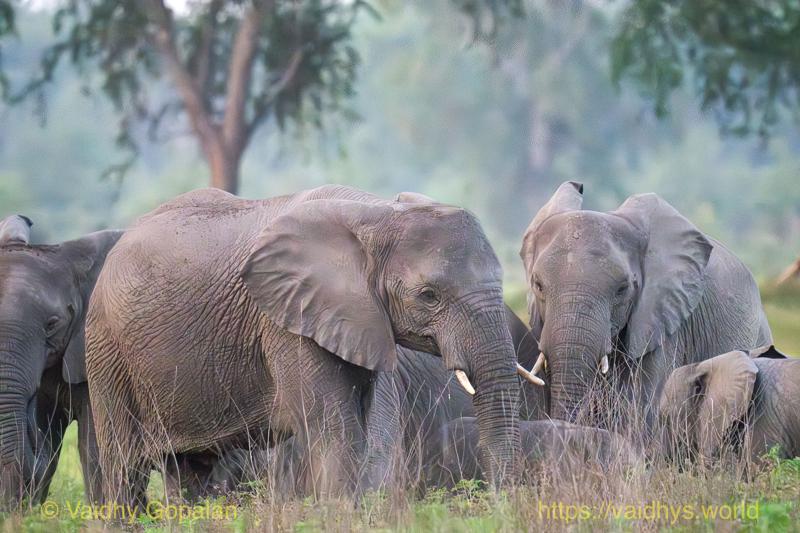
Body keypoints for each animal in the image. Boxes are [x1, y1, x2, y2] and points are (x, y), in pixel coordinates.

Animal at [85, 185, 527, 506]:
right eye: (429, 296)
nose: (498, 502)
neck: (377, 213)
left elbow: (363, 425)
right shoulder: (287, 319)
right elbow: (335, 431)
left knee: (189, 470)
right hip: (106, 351)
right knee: (124, 467)